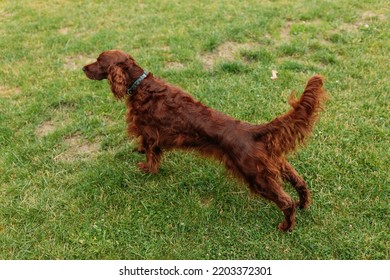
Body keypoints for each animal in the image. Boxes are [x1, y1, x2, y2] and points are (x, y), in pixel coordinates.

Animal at [83, 49, 326, 232]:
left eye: (99, 61)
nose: (83, 68)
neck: (140, 85)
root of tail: (253, 130)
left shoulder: (149, 132)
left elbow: (152, 155)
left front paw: (146, 169)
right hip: (276, 164)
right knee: (301, 183)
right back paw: (304, 205)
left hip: (256, 176)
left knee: (286, 201)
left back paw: (286, 226)